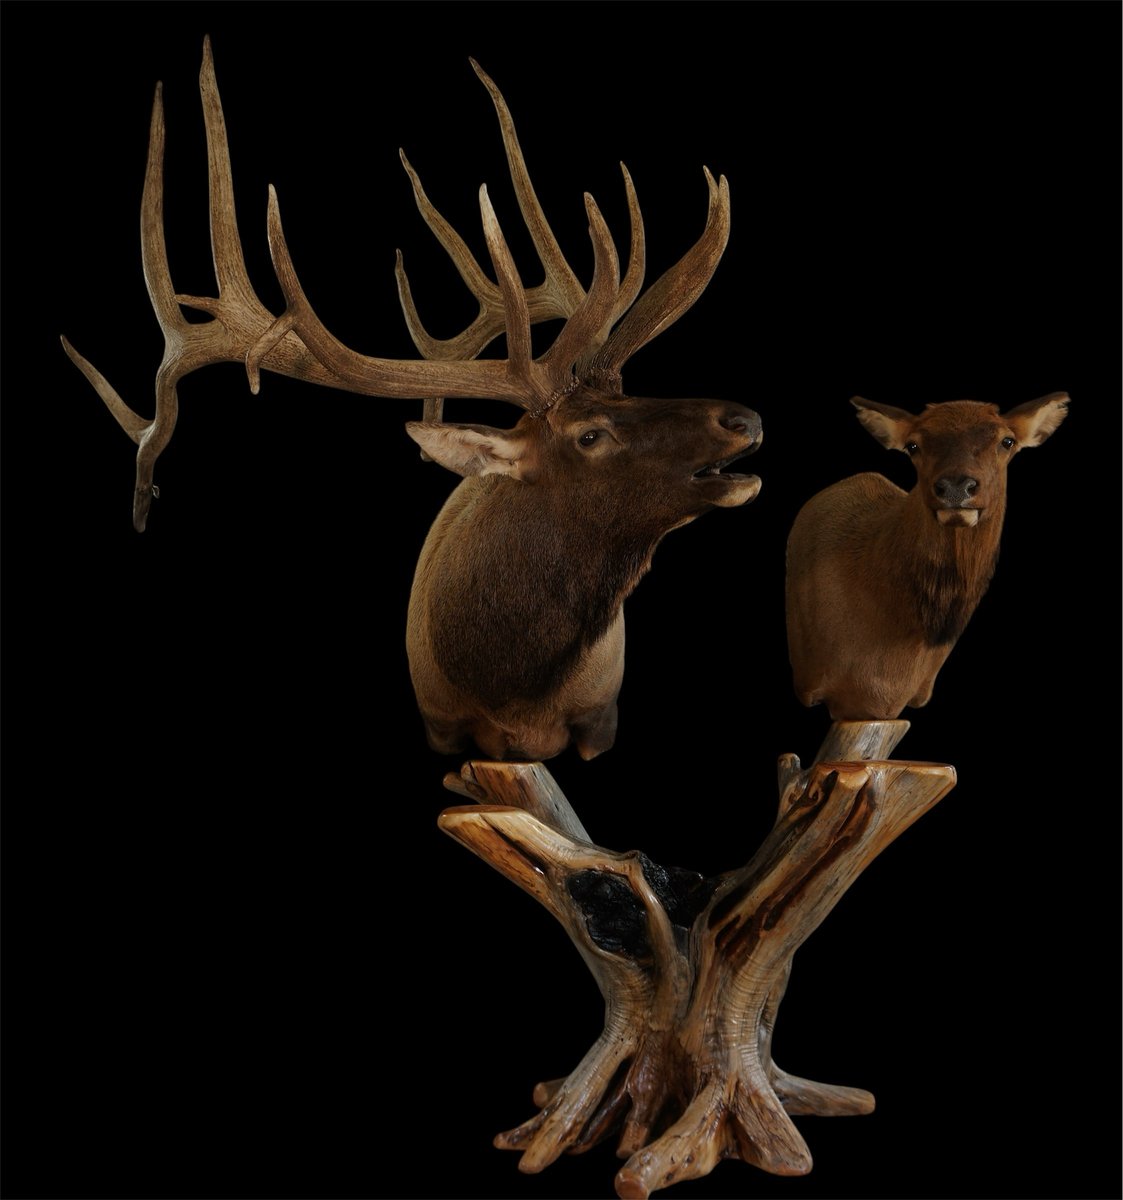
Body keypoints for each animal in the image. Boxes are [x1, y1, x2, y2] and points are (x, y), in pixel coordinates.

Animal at [61, 40, 763, 762]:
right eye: (589, 434)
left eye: (628, 390)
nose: (742, 418)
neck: (513, 692)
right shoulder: (442, 720)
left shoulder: (600, 716)